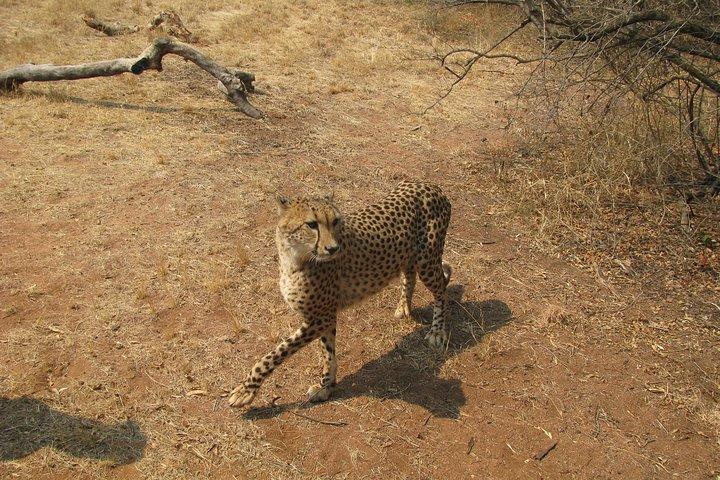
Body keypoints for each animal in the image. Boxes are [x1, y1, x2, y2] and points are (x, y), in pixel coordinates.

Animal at [228, 180, 452, 408]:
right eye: (311, 224)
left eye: (335, 221)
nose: (333, 248)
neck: (295, 257)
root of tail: (428, 185)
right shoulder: (324, 317)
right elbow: (327, 352)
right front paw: (326, 387)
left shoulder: (320, 317)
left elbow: (277, 352)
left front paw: (246, 389)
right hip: (409, 257)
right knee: (411, 275)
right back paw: (403, 306)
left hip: (427, 261)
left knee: (442, 287)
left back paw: (437, 331)